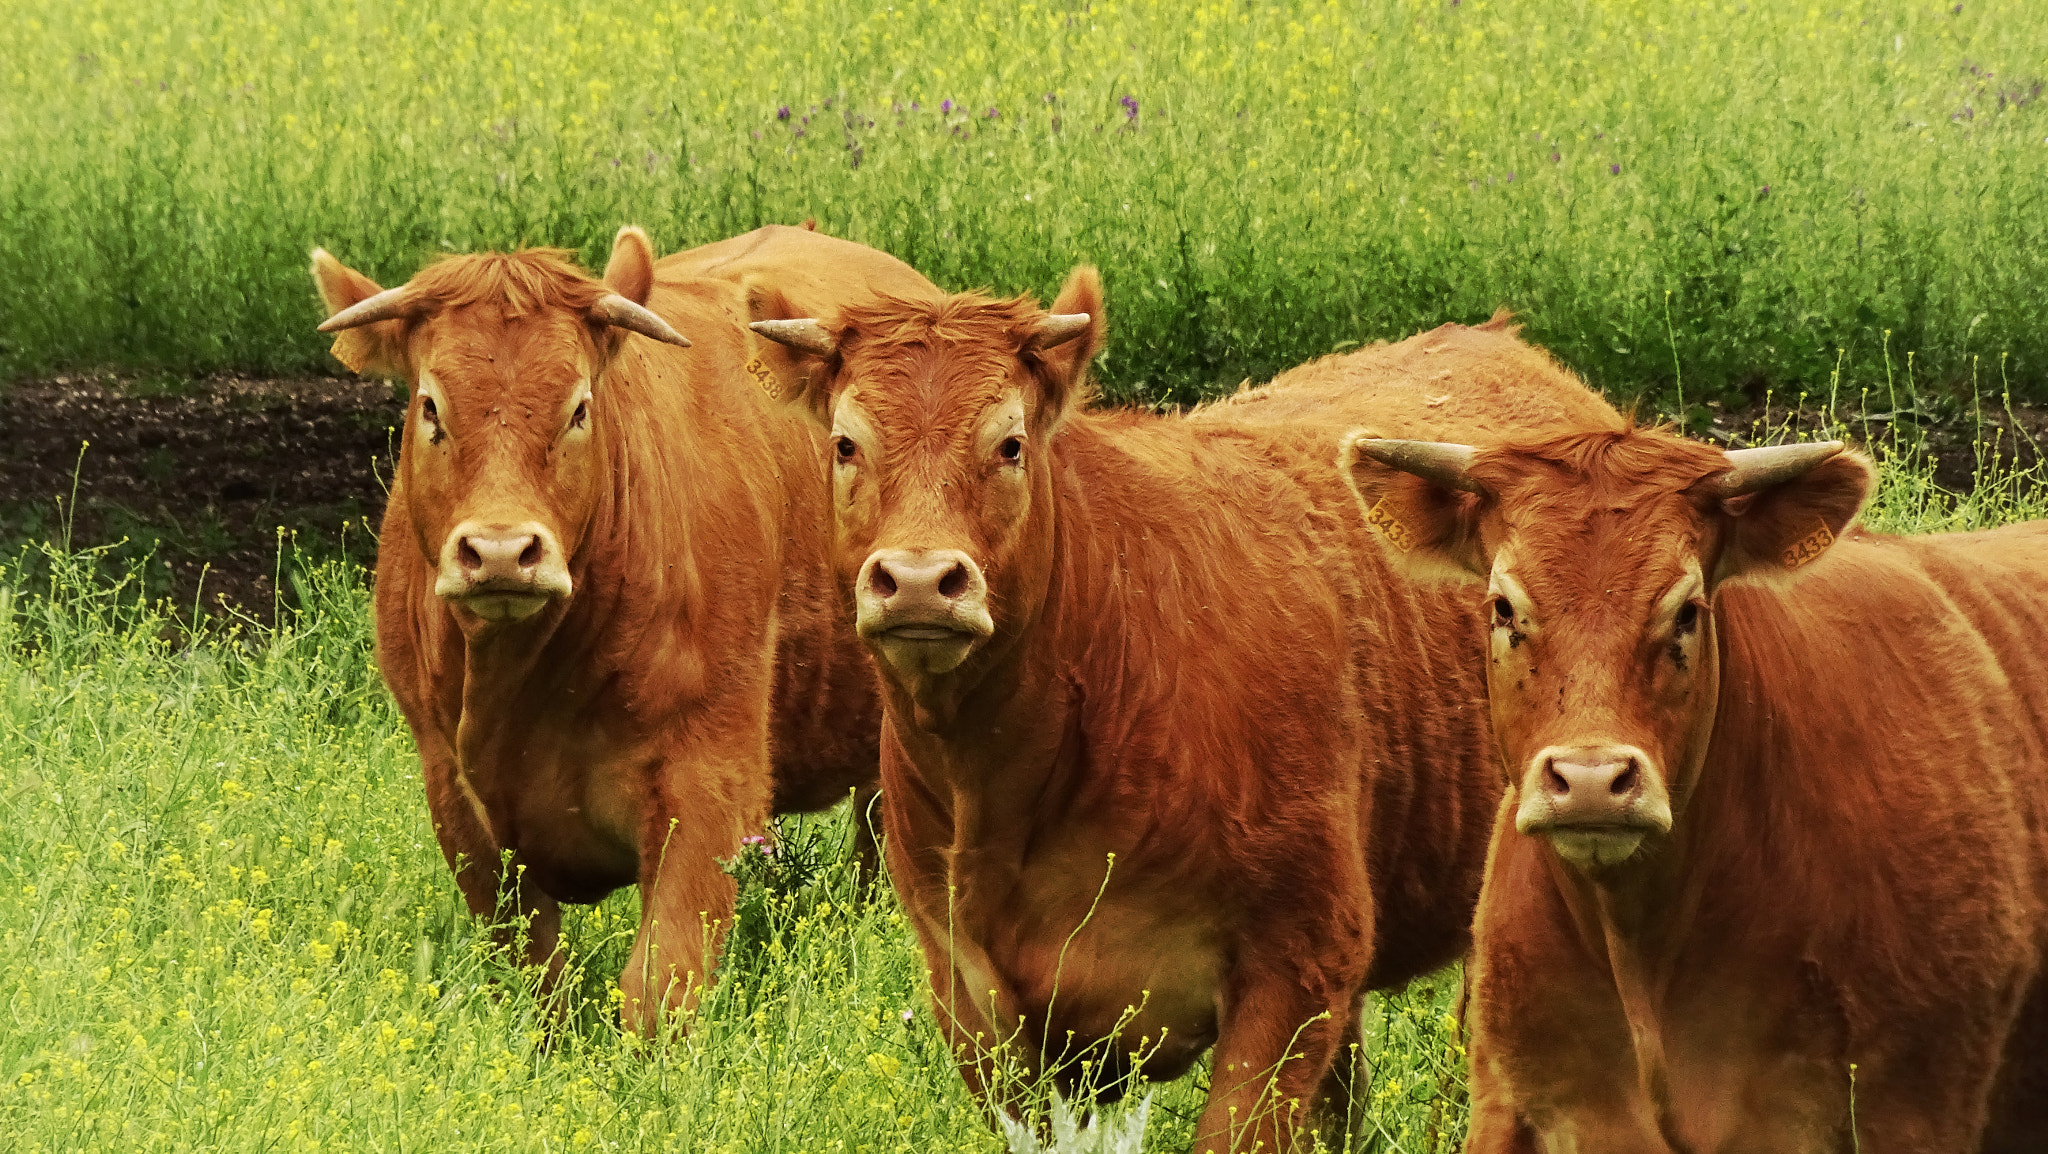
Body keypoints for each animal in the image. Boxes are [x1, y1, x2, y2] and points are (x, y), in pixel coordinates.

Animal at [309, 224, 934, 1031]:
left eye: (578, 408)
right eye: (430, 407)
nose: (502, 551)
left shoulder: (710, 781)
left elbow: (658, 987)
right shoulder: (453, 794)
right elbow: (536, 979)